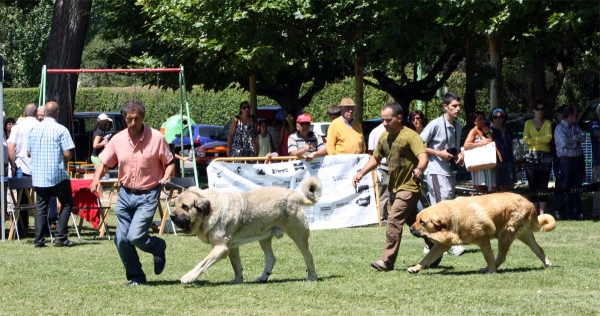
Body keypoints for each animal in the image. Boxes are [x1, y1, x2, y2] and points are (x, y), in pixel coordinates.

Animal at [169, 178, 322, 284]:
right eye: (175, 204)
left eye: (185, 206)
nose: (171, 216)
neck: (210, 209)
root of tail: (295, 195)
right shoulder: (231, 247)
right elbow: (236, 264)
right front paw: (237, 280)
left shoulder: (221, 247)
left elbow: (202, 263)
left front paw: (188, 277)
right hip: (263, 237)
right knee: (271, 258)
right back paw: (263, 277)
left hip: (297, 234)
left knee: (308, 256)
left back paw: (311, 277)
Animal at [408, 193, 556, 274]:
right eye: (415, 219)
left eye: (422, 222)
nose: (410, 229)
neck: (452, 217)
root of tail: (530, 204)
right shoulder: (442, 245)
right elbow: (427, 258)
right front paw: (415, 268)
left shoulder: (483, 239)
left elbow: (488, 256)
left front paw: (491, 271)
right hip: (524, 235)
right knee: (539, 250)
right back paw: (548, 264)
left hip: (505, 235)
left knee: (501, 257)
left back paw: (489, 269)